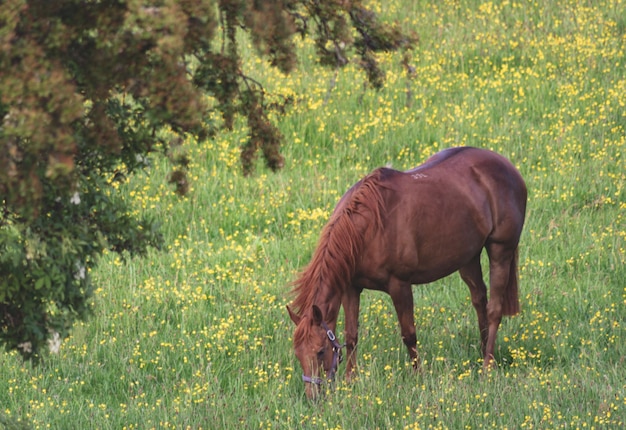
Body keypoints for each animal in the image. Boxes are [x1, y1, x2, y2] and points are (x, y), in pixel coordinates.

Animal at [286, 146, 528, 398]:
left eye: (320, 351)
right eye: (297, 353)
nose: (313, 397)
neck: (367, 229)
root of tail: (508, 167)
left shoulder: (400, 285)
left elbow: (409, 334)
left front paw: (418, 377)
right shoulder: (351, 288)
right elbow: (352, 336)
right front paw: (351, 380)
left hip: (501, 250)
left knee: (494, 310)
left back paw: (487, 366)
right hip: (468, 257)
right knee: (479, 299)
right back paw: (483, 352)